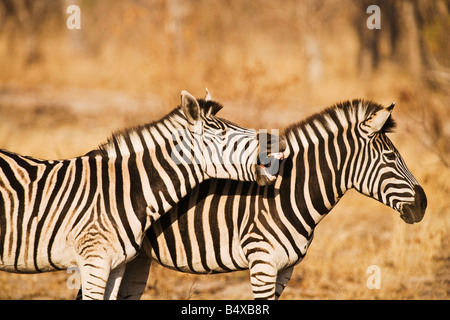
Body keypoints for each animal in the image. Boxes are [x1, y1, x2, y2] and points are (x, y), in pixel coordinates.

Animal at [112, 98, 428, 300]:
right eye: (390, 157)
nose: (423, 204)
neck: (288, 196)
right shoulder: (262, 263)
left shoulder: (285, 269)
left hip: (136, 259)